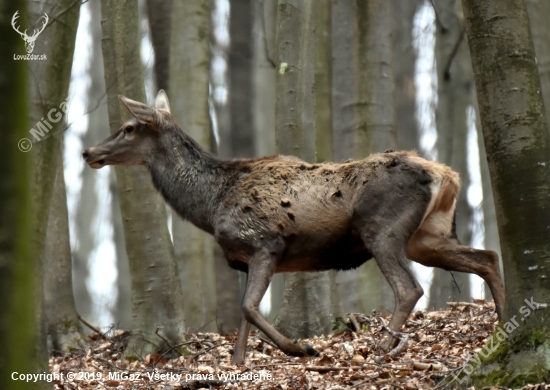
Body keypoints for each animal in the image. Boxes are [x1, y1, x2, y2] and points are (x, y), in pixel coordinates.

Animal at [80, 90, 506, 364]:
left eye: (129, 127)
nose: (87, 152)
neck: (211, 205)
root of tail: (446, 175)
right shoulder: (248, 257)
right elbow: (244, 316)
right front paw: (237, 363)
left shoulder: (265, 243)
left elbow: (248, 308)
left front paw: (301, 348)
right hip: (428, 236)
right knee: (486, 256)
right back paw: (503, 326)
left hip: (381, 229)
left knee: (410, 287)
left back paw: (383, 348)